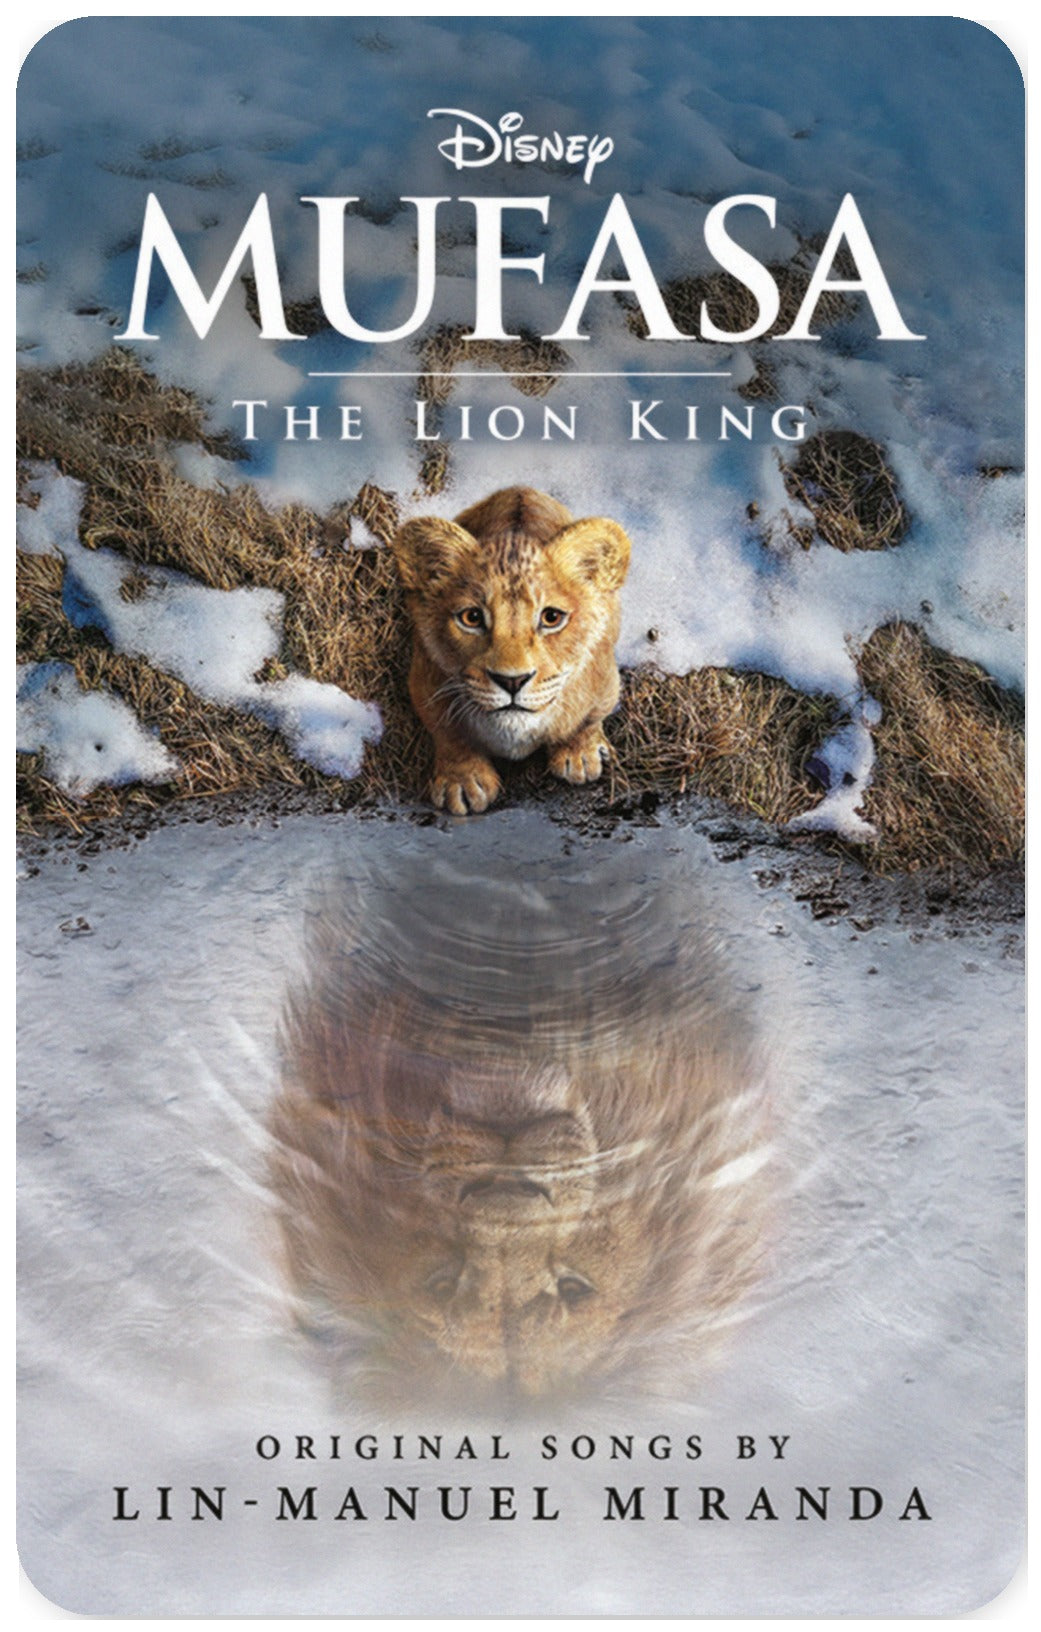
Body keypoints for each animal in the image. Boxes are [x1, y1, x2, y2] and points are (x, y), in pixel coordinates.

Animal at [390, 486, 632, 814]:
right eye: (472, 618)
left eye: (551, 617)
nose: (512, 681)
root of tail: (520, 489)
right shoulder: (425, 682)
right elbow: (448, 733)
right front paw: (462, 781)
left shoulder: (605, 681)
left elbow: (588, 719)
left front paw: (580, 755)